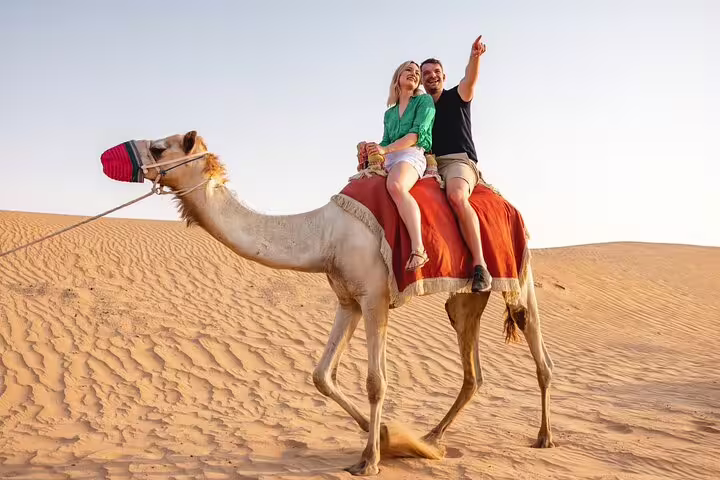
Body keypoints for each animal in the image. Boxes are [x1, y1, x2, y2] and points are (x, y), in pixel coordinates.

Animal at [138, 130, 554, 476]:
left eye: (159, 147)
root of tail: (508, 203)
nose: (136, 161)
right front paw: (386, 437)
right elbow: (321, 375)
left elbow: (375, 381)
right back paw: (431, 439)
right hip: (466, 297)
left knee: (537, 346)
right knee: (472, 370)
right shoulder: (347, 300)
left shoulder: (375, 298)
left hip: (520, 270)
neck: (325, 234)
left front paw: (369, 459)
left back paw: (544, 437)